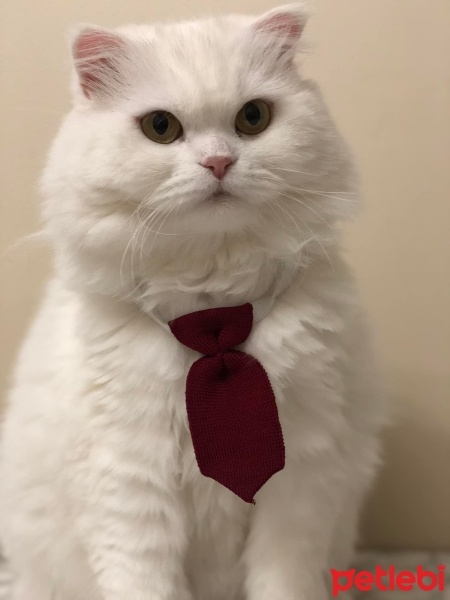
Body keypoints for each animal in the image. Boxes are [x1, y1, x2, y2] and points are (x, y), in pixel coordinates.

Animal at [0, 5, 386, 600]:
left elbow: (283, 579)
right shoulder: (127, 482)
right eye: (161, 128)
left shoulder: (301, 477)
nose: (219, 163)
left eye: (253, 118)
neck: (214, 316)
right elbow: (143, 582)